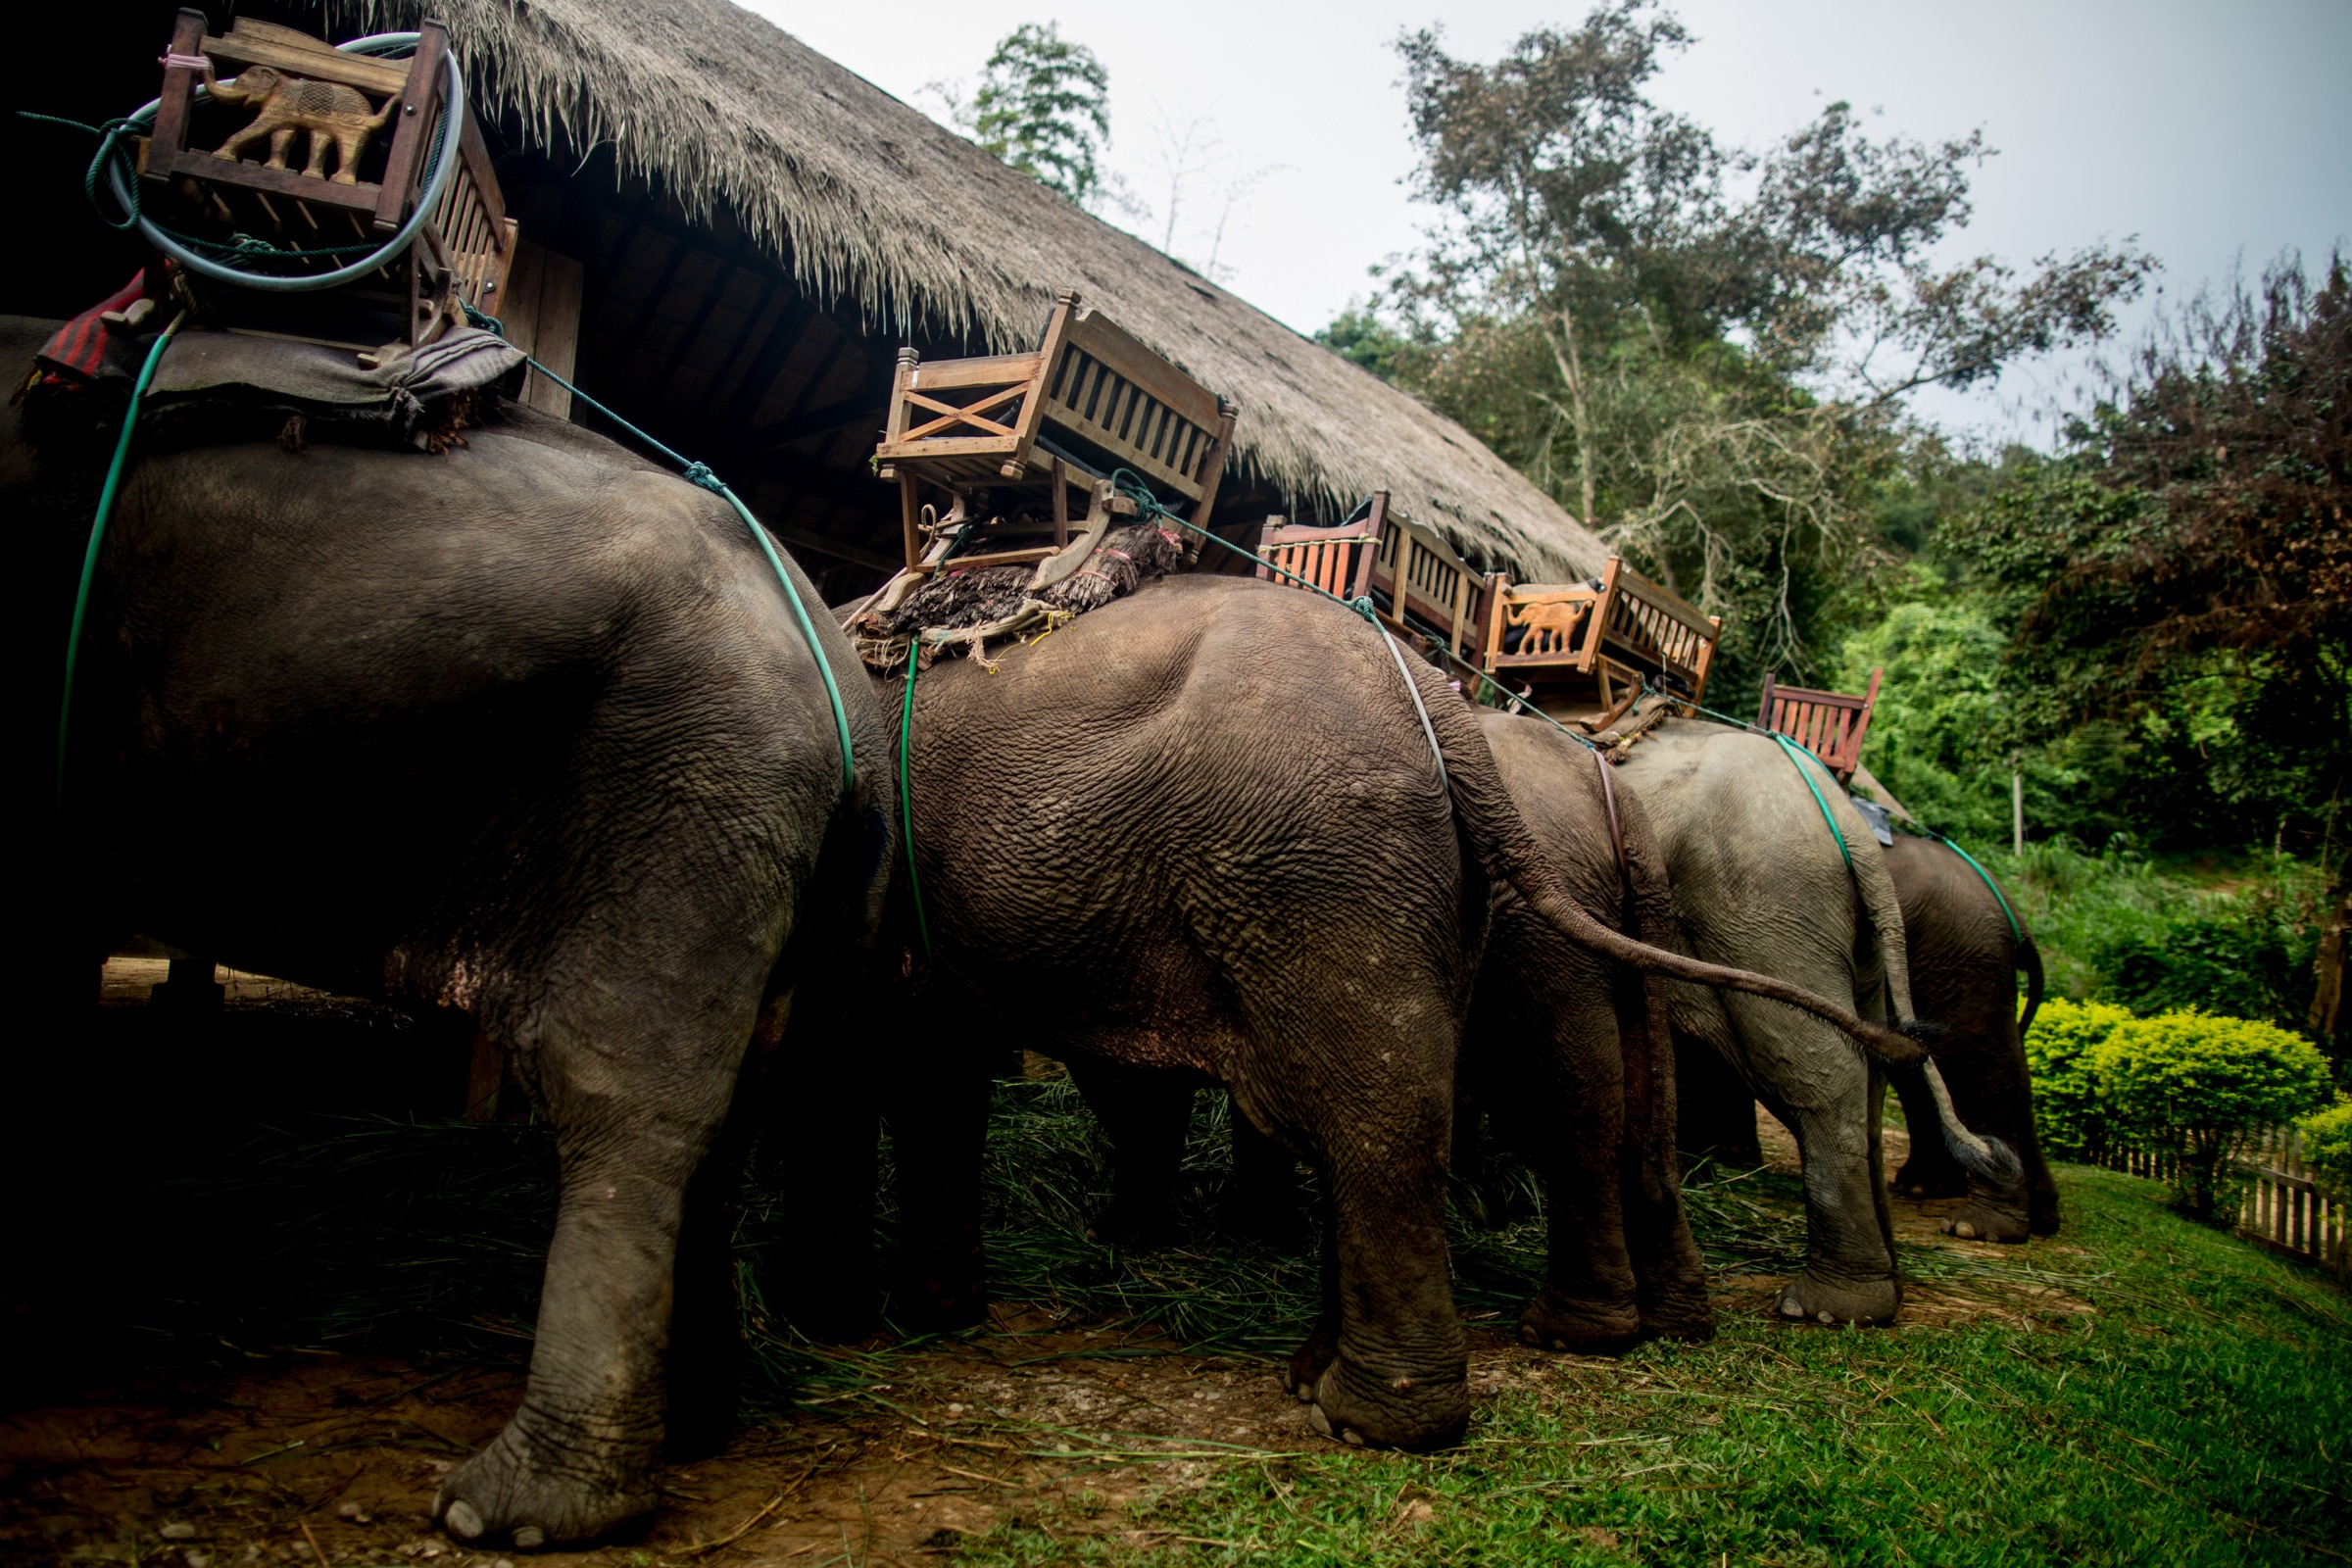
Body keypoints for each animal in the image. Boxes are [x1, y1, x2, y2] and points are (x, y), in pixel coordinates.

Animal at [3, 315, 892, 1548]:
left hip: (690, 783)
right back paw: (696, 1427)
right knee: (747, 1092)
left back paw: (515, 1509)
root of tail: (843, 668)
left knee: (628, 1093)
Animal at [861, 574, 1924, 1450]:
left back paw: (1394, 1406)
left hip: (1328, 873)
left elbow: (938, 1064)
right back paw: (1635, 1328)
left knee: (1421, 1107)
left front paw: (946, 1307)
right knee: (1591, 1091)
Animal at [1620, 718, 2022, 1327]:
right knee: (1871, 1071)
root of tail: (1847, 822)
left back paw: (1828, 1307)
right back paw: (1886, 1286)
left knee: (1818, 1075)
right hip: (1848, 942)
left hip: (1763, 914)